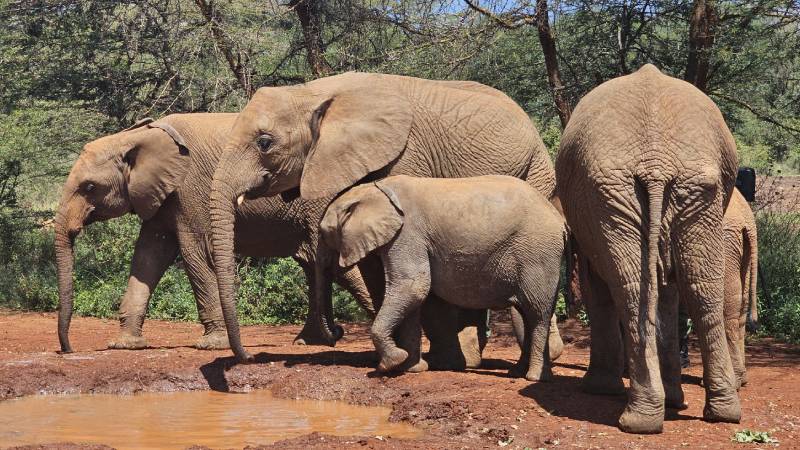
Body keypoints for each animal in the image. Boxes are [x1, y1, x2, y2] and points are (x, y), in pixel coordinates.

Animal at [54, 113, 374, 353]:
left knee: (336, 266)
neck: (137, 136)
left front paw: (211, 346)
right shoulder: (160, 196)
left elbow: (193, 253)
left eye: (89, 187)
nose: (68, 349)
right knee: (313, 265)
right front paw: (124, 345)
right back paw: (313, 341)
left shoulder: (189, 187)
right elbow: (147, 256)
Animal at [207, 71, 559, 364]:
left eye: (265, 143)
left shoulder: (406, 155)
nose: (250, 358)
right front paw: (401, 357)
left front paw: (427, 362)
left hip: (537, 171)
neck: (314, 91)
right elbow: (373, 264)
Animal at [320, 175, 566, 380]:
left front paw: (389, 365)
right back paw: (519, 372)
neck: (374, 189)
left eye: (323, 233)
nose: (338, 332)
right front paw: (413, 369)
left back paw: (533, 377)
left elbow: (413, 287)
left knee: (537, 312)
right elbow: (413, 296)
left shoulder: (407, 234)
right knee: (527, 311)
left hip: (539, 252)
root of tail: (559, 219)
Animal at [556, 64, 741, 433]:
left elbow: (599, 285)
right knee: (699, 287)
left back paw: (640, 420)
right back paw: (717, 413)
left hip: (626, 193)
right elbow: (666, 290)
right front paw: (673, 401)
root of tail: (656, 163)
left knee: (632, 287)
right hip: (679, 194)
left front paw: (600, 390)